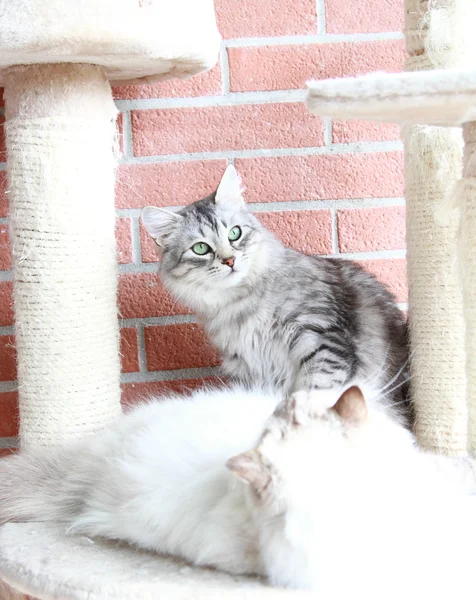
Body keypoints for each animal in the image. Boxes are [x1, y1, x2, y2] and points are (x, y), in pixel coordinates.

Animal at [140, 166, 410, 424]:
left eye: (234, 233)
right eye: (200, 248)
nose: (229, 260)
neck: (239, 302)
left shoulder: (322, 339)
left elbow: (314, 391)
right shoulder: (245, 366)